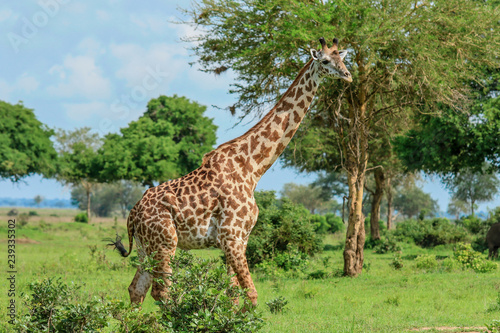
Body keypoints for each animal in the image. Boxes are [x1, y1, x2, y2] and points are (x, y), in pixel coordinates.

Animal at [110, 35, 352, 304]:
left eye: (343, 58)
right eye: (326, 61)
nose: (348, 75)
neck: (253, 168)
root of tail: (132, 214)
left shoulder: (240, 238)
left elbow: (232, 294)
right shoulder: (231, 235)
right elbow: (251, 295)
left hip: (146, 247)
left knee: (136, 289)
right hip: (165, 243)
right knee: (162, 292)